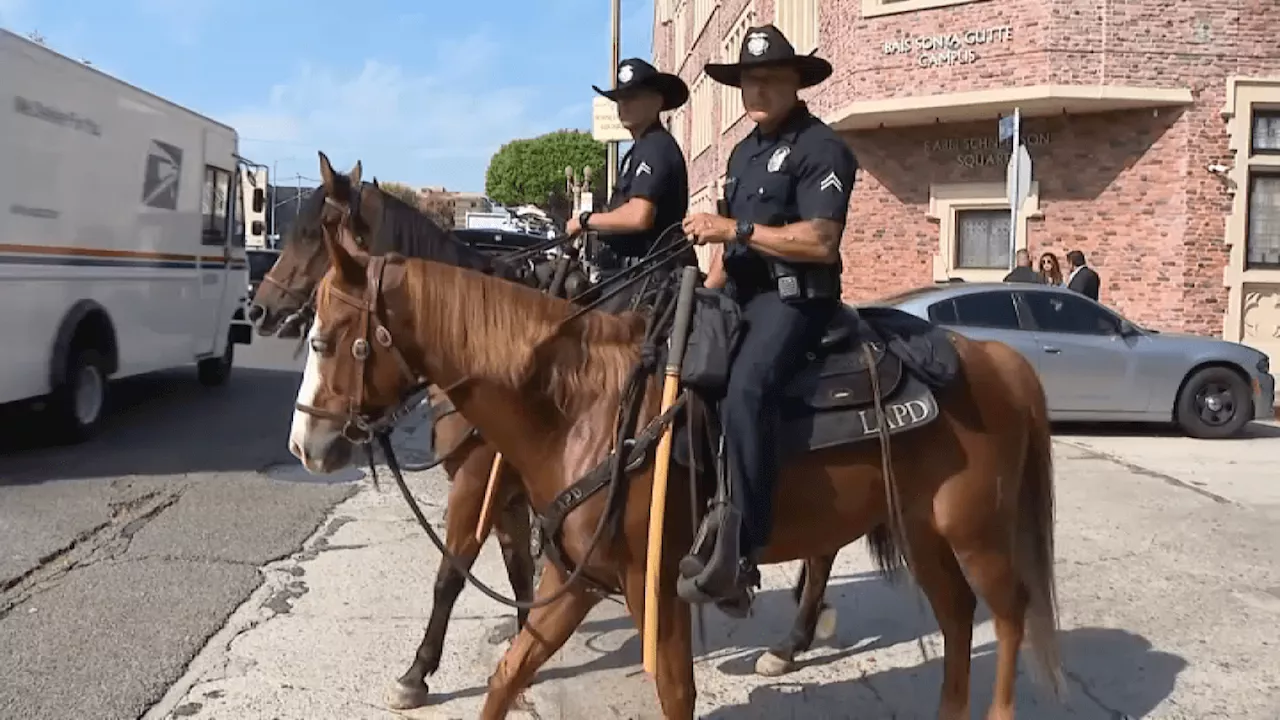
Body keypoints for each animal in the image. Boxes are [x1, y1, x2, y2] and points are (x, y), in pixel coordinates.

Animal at [256, 152, 844, 702]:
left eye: (314, 231)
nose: (259, 308)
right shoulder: (514, 493)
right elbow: (518, 570)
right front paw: (523, 641)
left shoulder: (477, 482)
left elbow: (451, 573)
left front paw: (418, 672)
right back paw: (797, 635)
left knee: (824, 547)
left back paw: (792, 638)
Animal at [294, 221, 1064, 712]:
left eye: (327, 338)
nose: (306, 444)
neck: (584, 406)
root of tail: (997, 357)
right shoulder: (576, 574)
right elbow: (508, 673)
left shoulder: (648, 583)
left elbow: (670, 692)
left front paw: (418, 673)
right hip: (926, 532)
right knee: (958, 615)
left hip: (976, 532)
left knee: (1008, 613)